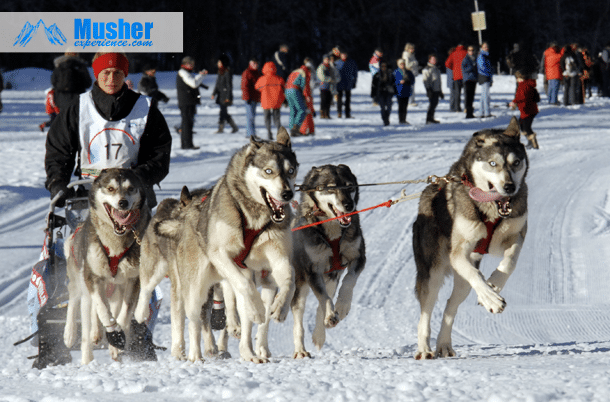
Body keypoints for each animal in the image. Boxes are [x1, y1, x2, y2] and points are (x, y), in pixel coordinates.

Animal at [62, 167, 150, 364]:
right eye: (110, 188)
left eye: (130, 188)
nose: (123, 202)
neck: (115, 243)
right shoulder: (92, 277)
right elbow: (102, 309)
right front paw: (112, 332)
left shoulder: (133, 280)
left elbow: (124, 314)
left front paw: (117, 340)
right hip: (79, 280)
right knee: (76, 300)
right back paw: (71, 334)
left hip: (115, 288)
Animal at [135, 127, 296, 362]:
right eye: (268, 171)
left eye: (291, 170)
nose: (287, 193)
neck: (254, 218)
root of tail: (184, 217)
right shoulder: (222, 255)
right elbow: (246, 288)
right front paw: (257, 310)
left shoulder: (278, 259)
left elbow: (289, 281)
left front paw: (280, 308)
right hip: (191, 287)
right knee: (189, 317)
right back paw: (191, 351)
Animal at [290, 165, 366, 360]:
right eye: (331, 188)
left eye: (349, 186)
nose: (349, 205)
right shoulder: (312, 270)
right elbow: (323, 299)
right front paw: (332, 314)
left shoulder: (358, 257)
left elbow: (349, 281)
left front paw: (342, 306)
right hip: (301, 285)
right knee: (300, 313)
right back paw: (300, 349)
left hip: (330, 279)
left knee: (322, 303)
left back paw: (321, 330)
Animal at [414, 118, 528, 360]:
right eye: (493, 163)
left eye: (516, 163)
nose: (510, 187)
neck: (491, 209)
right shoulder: (459, 252)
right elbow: (476, 275)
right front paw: (492, 298)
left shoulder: (516, 235)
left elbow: (510, 262)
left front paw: (495, 284)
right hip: (433, 273)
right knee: (426, 312)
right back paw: (424, 349)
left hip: (462, 283)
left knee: (450, 305)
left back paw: (443, 344)